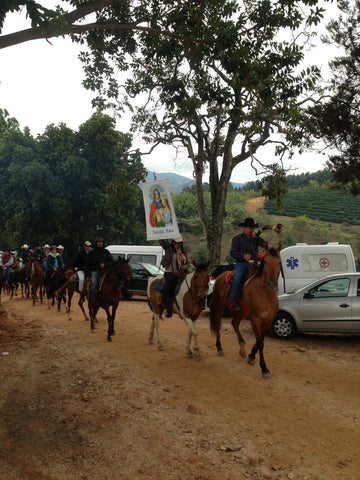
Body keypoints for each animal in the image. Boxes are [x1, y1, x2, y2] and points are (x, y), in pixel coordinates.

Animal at [210, 244, 282, 378]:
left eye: (279, 262)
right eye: (265, 262)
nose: (272, 284)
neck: (265, 294)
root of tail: (220, 277)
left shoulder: (267, 321)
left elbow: (261, 340)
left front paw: (251, 356)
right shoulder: (255, 320)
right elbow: (260, 342)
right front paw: (264, 368)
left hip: (239, 313)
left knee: (234, 323)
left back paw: (242, 348)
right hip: (219, 307)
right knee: (218, 325)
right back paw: (220, 348)